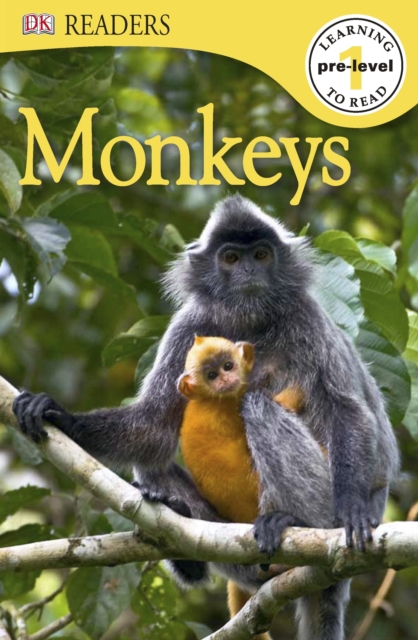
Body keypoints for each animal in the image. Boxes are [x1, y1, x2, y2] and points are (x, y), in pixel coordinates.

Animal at [13, 195, 399, 639]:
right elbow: (154, 425)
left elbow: (346, 409)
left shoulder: (308, 317)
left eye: (261, 255)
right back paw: (183, 537)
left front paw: (353, 508)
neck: (249, 321)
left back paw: (294, 520)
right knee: (152, 462)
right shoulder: (189, 325)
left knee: (259, 406)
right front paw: (58, 415)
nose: (249, 271)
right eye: (231, 258)